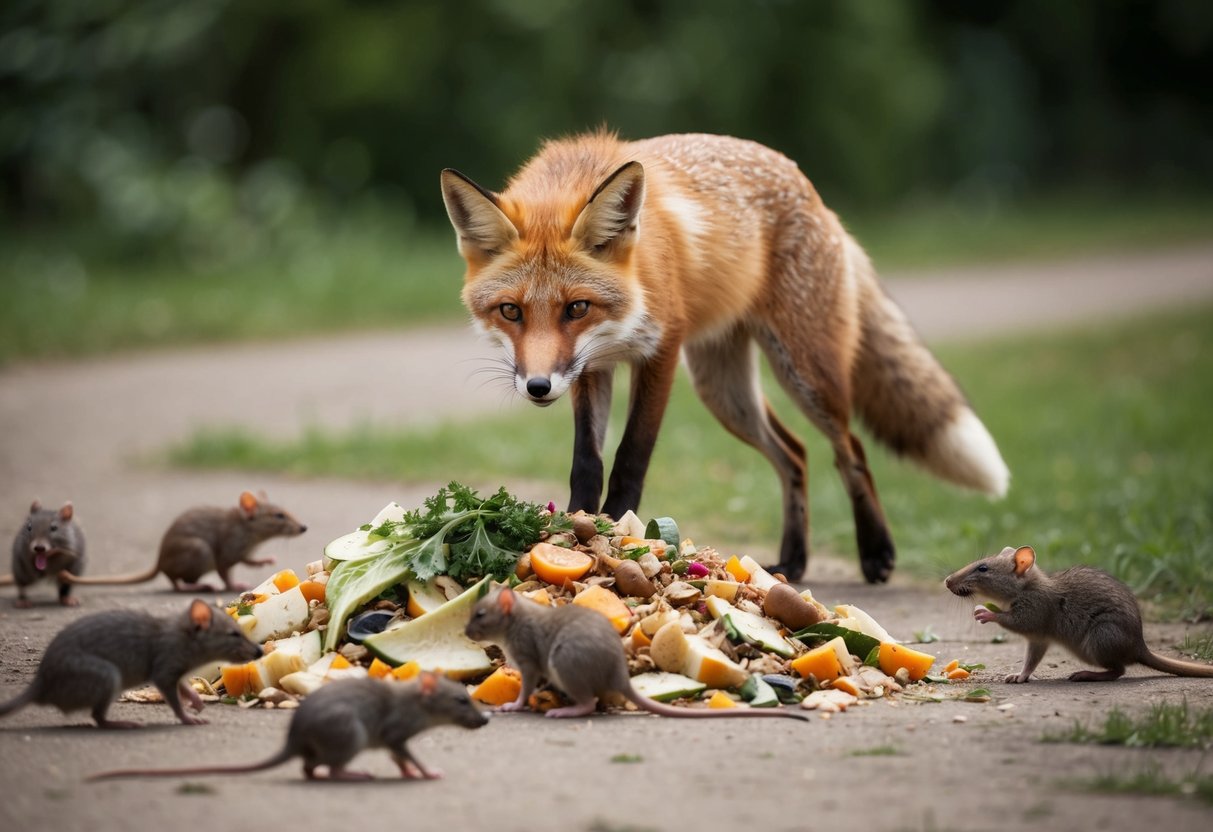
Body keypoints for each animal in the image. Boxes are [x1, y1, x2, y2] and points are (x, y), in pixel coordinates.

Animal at [440, 132, 1009, 583]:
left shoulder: (660, 351)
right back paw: (793, 560)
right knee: (795, 454)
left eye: (576, 307)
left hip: (804, 373)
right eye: (511, 311)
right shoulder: (590, 368)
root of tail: (809, 188)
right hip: (725, 392)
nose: (537, 387)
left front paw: (616, 536)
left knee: (850, 450)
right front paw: (572, 534)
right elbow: (587, 464)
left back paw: (876, 553)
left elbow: (630, 459)